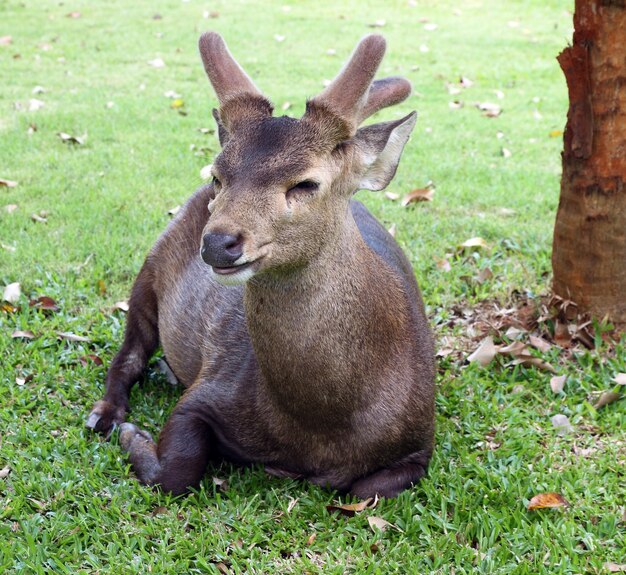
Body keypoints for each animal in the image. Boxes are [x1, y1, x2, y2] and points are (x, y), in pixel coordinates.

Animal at [88, 31, 434, 500]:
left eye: (306, 183)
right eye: (217, 175)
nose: (218, 243)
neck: (320, 429)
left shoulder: (421, 441)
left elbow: (365, 488)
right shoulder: (210, 388)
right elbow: (176, 472)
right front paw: (133, 435)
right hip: (150, 267)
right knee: (129, 352)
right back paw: (107, 415)